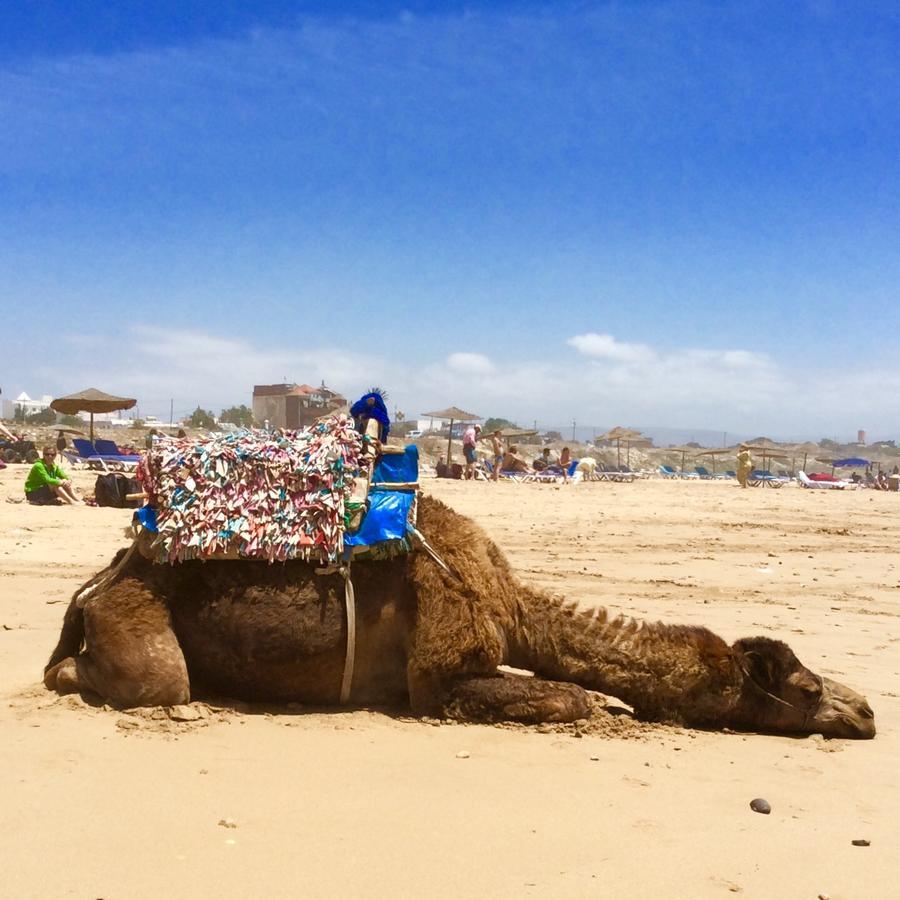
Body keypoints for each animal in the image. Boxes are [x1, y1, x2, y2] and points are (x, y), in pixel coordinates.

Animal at [45, 492, 876, 740]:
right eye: (805, 689)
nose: (867, 711)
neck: (511, 605)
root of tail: (106, 576)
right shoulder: (439, 678)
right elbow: (571, 699)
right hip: (136, 620)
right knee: (152, 681)